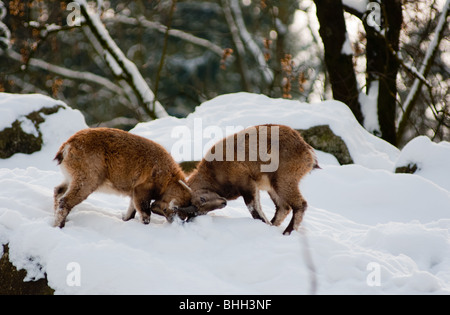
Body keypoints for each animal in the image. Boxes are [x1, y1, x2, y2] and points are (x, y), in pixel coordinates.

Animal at [53, 127, 193, 228]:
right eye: (175, 208)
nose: (174, 221)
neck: (167, 177)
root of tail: (67, 147)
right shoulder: (142, 190)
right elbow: (145, 214)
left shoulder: (134, 193)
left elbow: (131, 212)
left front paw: (125, 220)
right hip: (87, 180)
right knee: (64, 201)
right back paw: (60, 225)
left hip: (71, 177)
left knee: (58, 191)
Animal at [181, 124, 318, 236]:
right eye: (201, 212)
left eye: (202, 199)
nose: (223, 203)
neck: (213, 174)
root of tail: (306, 150)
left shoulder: (246, 182)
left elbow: (253, 207)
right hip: (272, 185)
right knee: (283, 207)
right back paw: (273, 226)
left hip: (284, 179)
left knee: (300, 204)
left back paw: (287, 232)